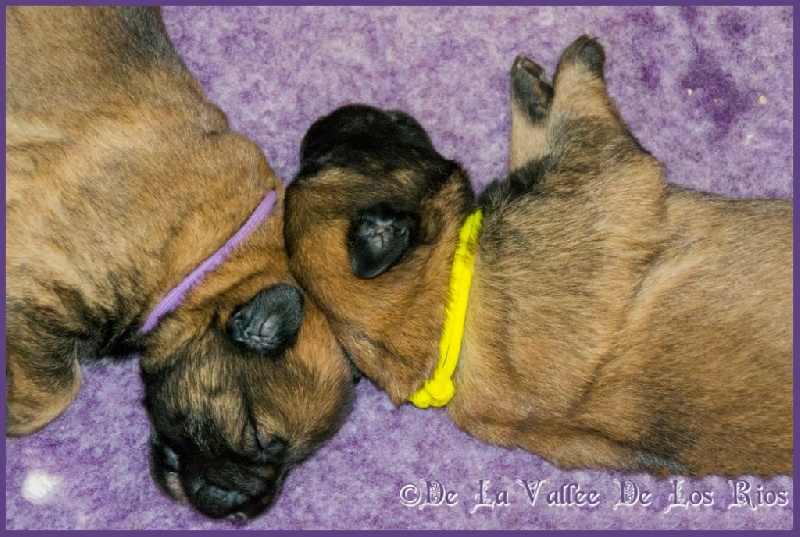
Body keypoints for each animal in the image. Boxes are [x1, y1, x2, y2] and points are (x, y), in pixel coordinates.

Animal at [6, 7, 355, 520]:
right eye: (257, 437)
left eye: (296, 461)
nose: (247, 512)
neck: (214, 258)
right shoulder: (39, 276)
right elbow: (53, 392)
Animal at [284, 36, 792, 478]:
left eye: (317, 158)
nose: (317, 125)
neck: (446, 310)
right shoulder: (608, 171)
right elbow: (582, 114)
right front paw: (572, 62)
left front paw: (531, 88)